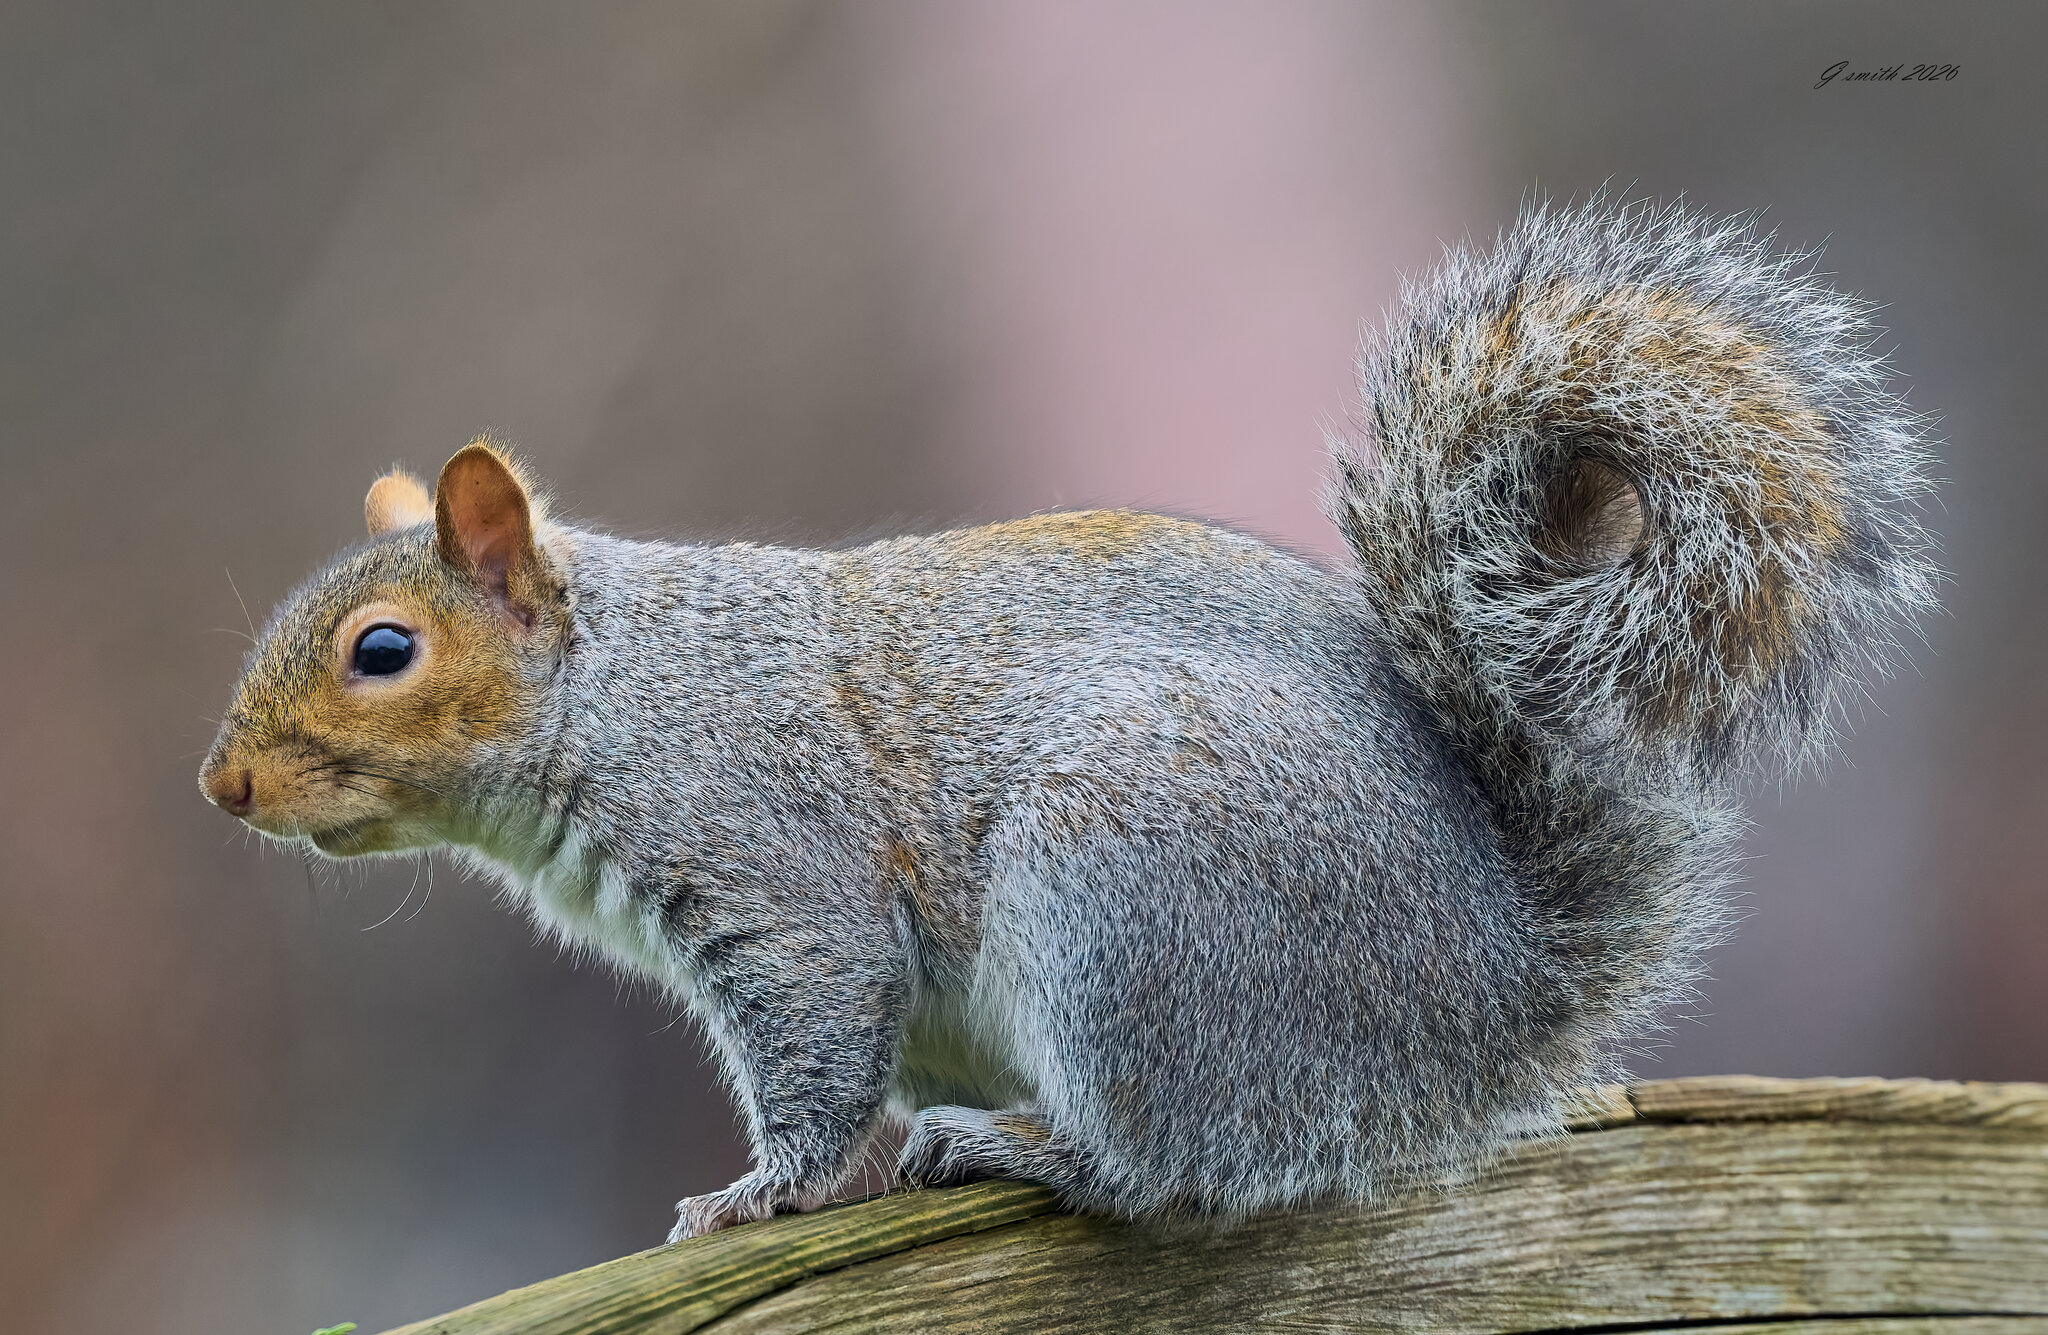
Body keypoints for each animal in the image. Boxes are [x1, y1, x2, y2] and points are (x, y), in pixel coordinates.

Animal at [200, 198, 1937, 1242]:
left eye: (381, 649)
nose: (223, 786)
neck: (622, 687)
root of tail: (1492, 995)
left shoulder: (779, 871)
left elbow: (821, 1044)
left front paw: (763, 1191)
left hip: (1129, 901)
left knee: (1175, 1162)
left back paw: (1027, 1143)